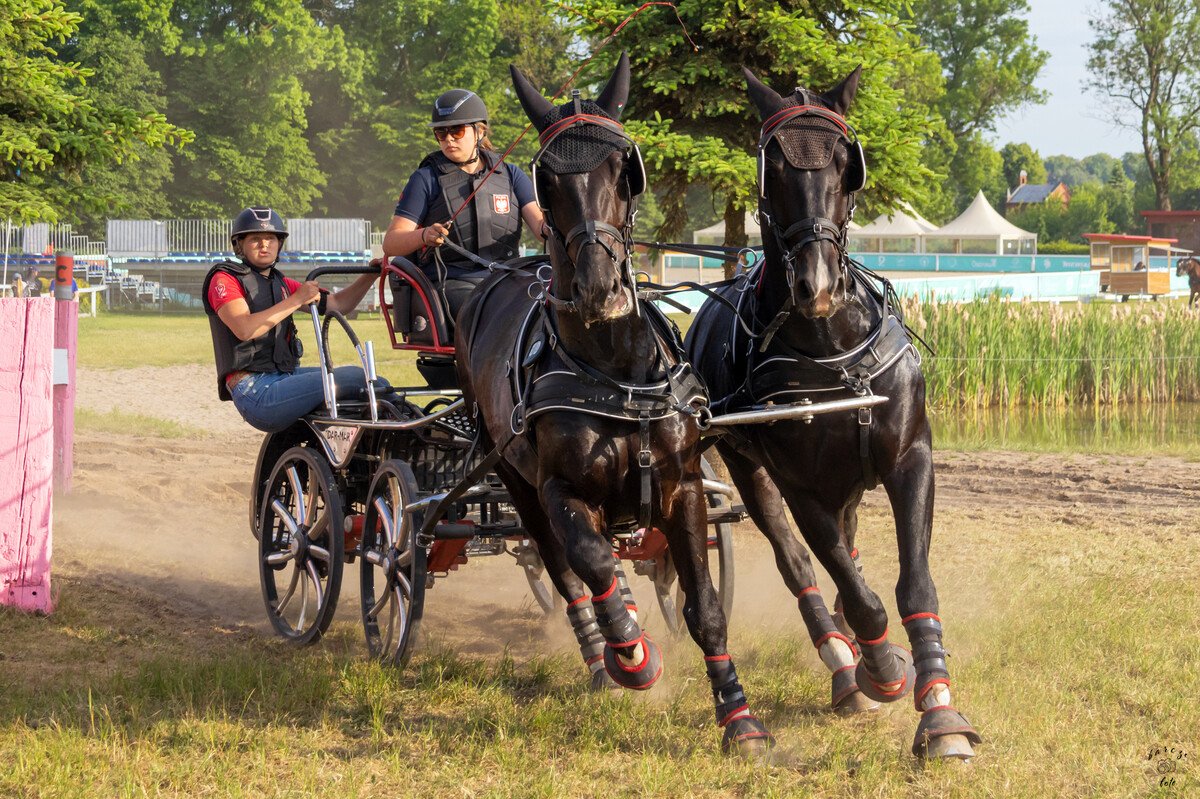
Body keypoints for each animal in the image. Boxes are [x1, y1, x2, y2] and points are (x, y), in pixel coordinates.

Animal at [453, 54, 772, 753]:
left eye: (626, 168)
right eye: (546, 178)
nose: (600, 290)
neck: (613, 373)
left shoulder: (682, 488)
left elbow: (705, 607)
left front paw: (739, 718)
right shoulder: (560, 490)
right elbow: (594, 564)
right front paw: (633, 656)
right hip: (511, 474)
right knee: (562, 567)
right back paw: (603, 658)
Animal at [691, 68, 979, 758]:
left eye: (848, 163)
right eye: (772, 167)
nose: (816, 286)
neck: (829, 348)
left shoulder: (910, 458)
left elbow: (913, 585)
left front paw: (940, 709)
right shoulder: (801, 488)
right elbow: (855, 589)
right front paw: (880, 671)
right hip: (747, 468)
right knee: (800, 566)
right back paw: (845, 666)